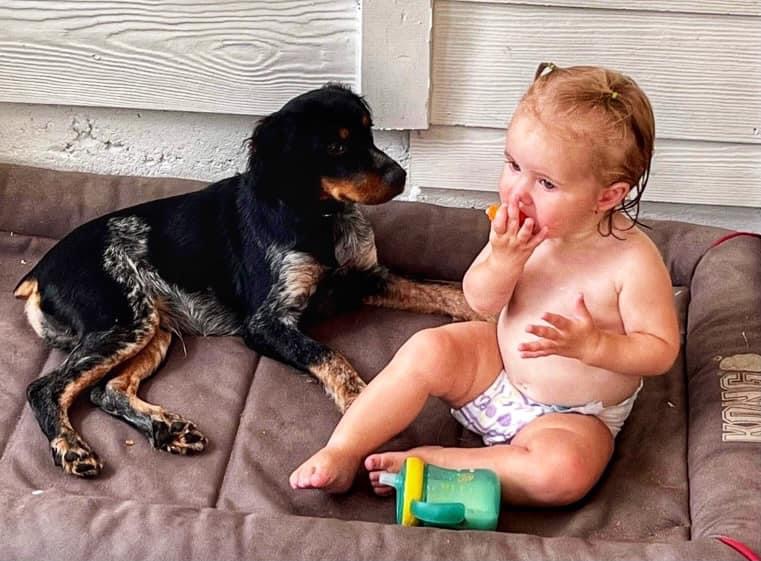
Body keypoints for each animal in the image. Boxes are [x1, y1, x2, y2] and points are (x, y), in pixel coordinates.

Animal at [13, 84, 478, 478]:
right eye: (335, 146)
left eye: (369, 133)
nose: (400, 176)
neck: (320, 218)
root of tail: (38, 272)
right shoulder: (265, 323)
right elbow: (330, 356)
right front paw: (364, 406)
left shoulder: (368, 277)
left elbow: (442, 290)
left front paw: (485, 311)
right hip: (124, 318)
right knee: (44, 388)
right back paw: (72, 448)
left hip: (152, 326)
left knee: (106, 390)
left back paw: (168, 429)